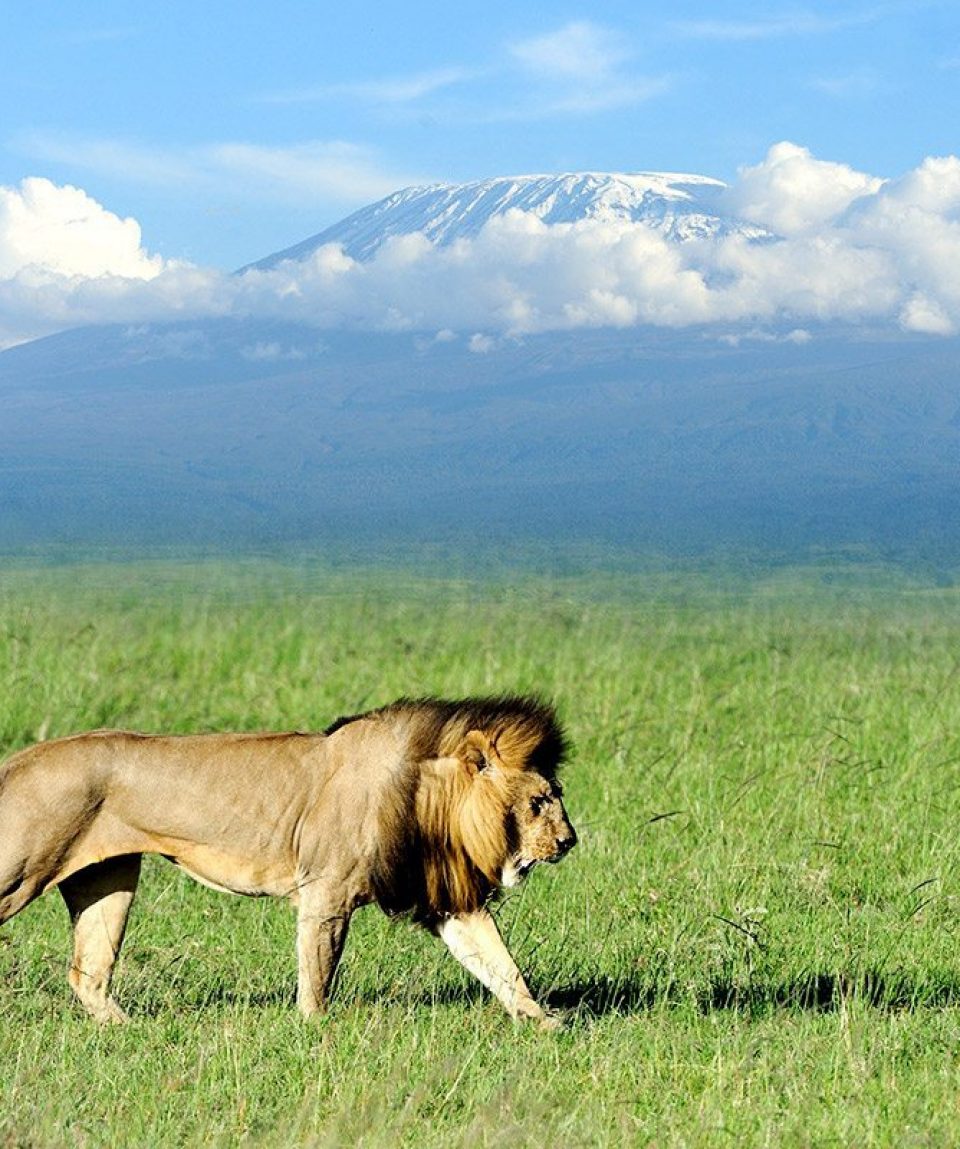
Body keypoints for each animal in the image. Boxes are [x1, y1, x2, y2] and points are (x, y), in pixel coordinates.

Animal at [0, 693, 576, 1029]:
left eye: (557, 794)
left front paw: (546, 1022)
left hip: (107, 878)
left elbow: (499, 962)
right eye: (538, 802)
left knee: (88, 974)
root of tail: (18, 760)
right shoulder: (328, 891)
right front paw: (316, 1028)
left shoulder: (443, 898)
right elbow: (318, 969)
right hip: (23, 868)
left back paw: (130, 1029)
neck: (427, 799)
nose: (569, 842)